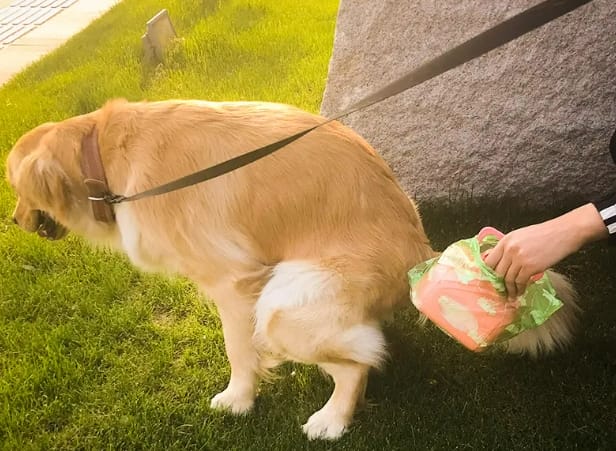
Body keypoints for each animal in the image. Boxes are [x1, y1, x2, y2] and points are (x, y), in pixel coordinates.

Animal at [6, 100, 576, 442]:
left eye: (14, 186)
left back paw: (331, 419)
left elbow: (237, 350)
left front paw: (239, 399)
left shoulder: (232, 281)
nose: (12, 221)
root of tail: (420, 253)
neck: (102, 157)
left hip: (285, 305)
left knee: (358, 364)